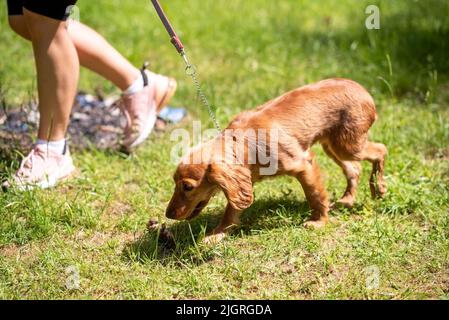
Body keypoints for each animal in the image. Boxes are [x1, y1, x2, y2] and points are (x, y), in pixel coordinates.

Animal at [164, 79, 384, 244]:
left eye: (187, 187)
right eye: (174, 183)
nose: (168, 214)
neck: (241, 141)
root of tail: (363, 90)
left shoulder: (303, 164)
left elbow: (315, 195)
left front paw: (319, 221)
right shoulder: (244, 182)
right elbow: (231, 211)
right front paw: (217, 234)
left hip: (347, 145)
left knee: (380, 150)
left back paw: (379, 187)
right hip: (333, 146)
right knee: (354, 168)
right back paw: (348, 199)